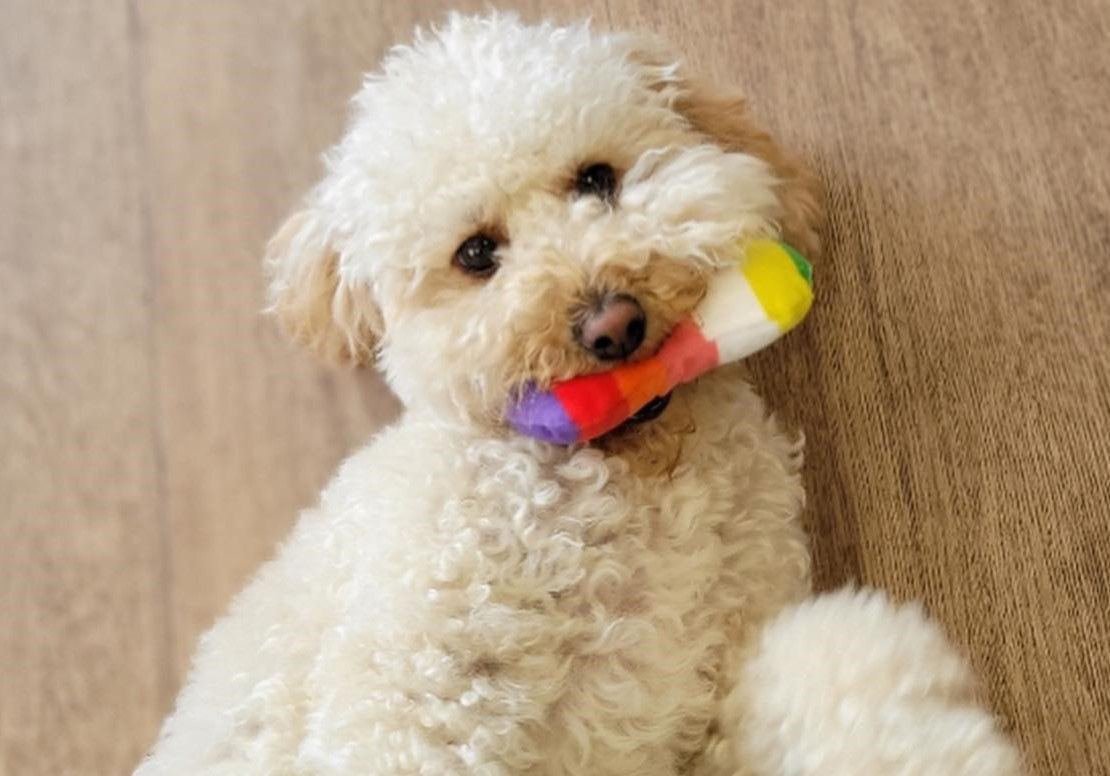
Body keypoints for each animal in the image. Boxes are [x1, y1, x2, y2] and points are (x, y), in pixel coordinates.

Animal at [136, 12, 1021, 776]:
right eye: (477, 254)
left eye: (596, 179)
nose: (612, 324)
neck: (629, 489)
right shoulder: (418, 690)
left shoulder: (712, 697)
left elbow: (824, 675)